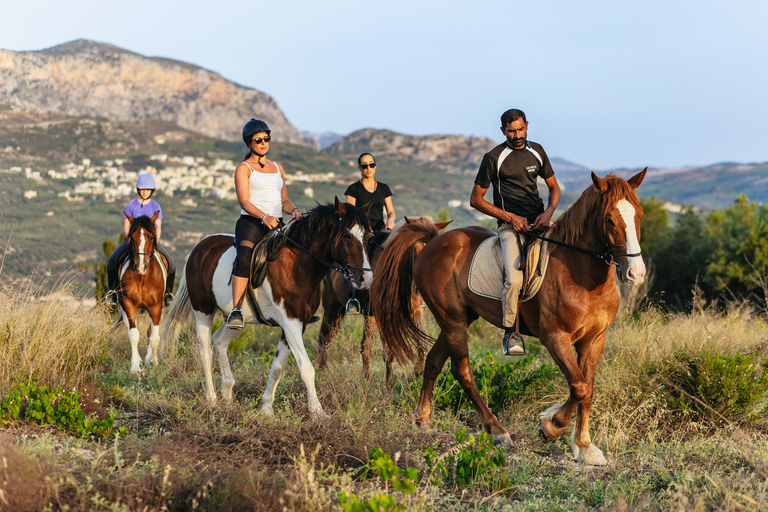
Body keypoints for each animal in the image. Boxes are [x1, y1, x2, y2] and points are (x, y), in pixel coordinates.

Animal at [118, 210, 170, 374]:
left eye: (151, 237)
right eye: (132, 237)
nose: (140, 267)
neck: (142, 278)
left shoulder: (156, 307)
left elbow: (154, 337)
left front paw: (153, 362)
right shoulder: (128, 304)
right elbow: (133, 334)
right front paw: (135, 366)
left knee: (150, 332)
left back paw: (148, 359)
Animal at [163, 198, 376, 418]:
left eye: (369, 237)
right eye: (347, 236)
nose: (366, 279)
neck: (299, 265)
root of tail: (198, 248)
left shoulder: (296, 324)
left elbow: (278, 367)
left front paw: (266, 408)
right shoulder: (290, 324)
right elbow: (306, 368)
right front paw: (318, 413)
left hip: (236, 319)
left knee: (219, 341)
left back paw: (227, 393)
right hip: (202, 310)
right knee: (205, 352)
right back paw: (212, 400)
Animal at [316, 216, 452, 384]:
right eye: (414, 247)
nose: (420, 286)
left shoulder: (414, 311)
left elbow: (421, 346)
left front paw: (415, 374)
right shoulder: (384, 315)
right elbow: (389, 353)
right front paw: (389, 385)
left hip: (365, 315)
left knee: (365, 346)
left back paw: (366, 381)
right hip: (332, 310)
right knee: (325, 340)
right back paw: (323, 375)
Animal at [372, 170, 648, 466]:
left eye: (639, 215)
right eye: (609, 219)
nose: (636, 273)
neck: (581, 273)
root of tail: (434, 241)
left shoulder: (594, 340)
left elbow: (588, 390)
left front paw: (584, 446)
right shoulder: (555, 337)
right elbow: (579, 386)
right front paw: (550, 426)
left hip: (459, 319)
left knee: (434, 362)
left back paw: (423, 421)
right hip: (452, 320)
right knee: (462, 371)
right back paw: (497, 430)